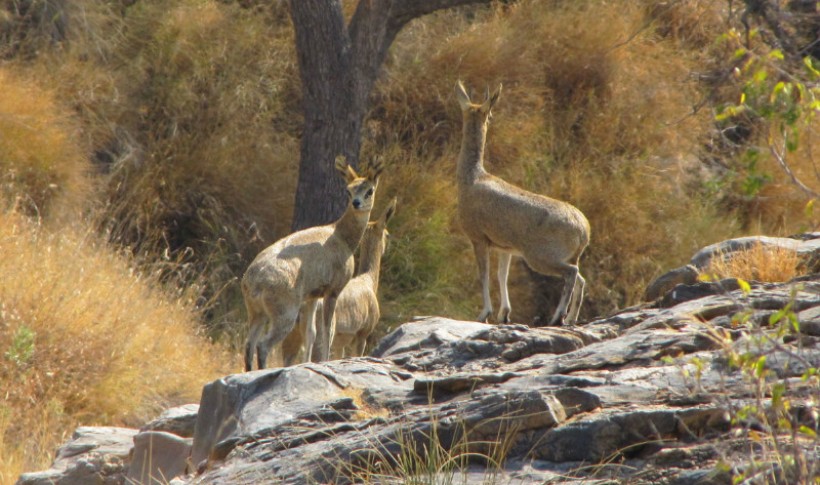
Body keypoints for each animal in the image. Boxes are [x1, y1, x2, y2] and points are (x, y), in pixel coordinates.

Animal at [240, 156, 384, 370]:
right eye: (349, 190)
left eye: (369, 190)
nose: (356, 203)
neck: (342, 237)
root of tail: (252, 282)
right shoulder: (333, 288)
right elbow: (327, 330)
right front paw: (324, 360)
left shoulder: (313, 295)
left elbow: (311, 333)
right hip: (285, 311)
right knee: (264, 345)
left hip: (256, 312)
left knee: (249, 345)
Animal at [282, 197, 398, 364]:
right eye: (387, 234)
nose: (388, 247)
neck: (369, 282)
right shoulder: (363, 334)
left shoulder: (340, 343)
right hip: (320, 337)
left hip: (292, 336)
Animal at [454, 82, 588, 326]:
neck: (472, 177)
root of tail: (584, 230)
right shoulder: (505, 246)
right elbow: (502, 275)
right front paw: (504, 314)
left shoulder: (478, 237)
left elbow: (483, 275)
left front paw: (484, 313)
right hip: (559, 256)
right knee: (581, 279)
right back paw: (571, 318)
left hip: (540, 256)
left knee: (571, 274)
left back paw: (557, 316)